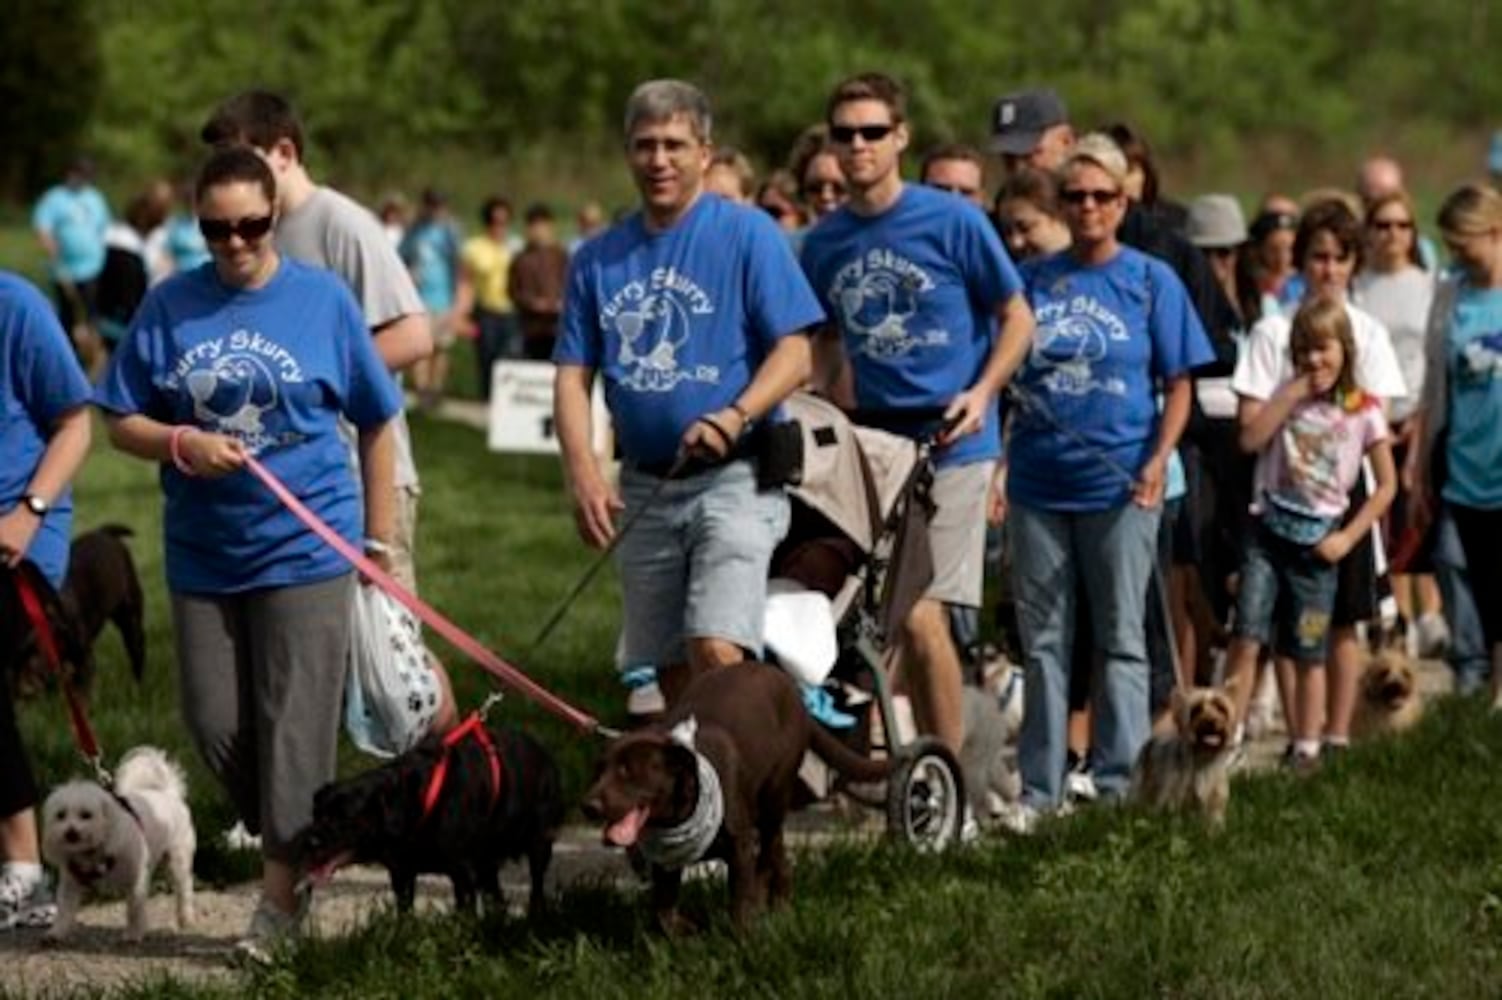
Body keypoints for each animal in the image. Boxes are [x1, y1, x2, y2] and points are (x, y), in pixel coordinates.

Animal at [41, 744, 196, 936]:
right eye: (60, 815)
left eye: (86, 815)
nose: (71, 832)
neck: (93, 852)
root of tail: (168, 793)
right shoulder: (70, 883)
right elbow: (64, 909)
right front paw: (56, 932)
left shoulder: (136, 880)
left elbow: (134, 909)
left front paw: (134, 933)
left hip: (177, 859)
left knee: (184, 888)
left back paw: (186, 918)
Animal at [294, 711, 564, 912]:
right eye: (316, 813)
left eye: (345, 818)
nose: (308, 841)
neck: (414, 803)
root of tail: (544, 753)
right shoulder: (401, 872)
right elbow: (404, 913)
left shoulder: (462, 870)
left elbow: (464, 910)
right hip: (488, 859)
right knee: (496, 895)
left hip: (540, 840)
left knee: (536, 883)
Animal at [582, 657, 889, 930]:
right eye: (598, 770)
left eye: (627, 771)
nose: (588, 807)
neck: (682, 817)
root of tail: (789, 685)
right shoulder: (665, 863)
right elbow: (663, 913)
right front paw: (685, 932)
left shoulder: (739, 846)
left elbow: (740, 902)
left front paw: (743, 941)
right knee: (777, 856)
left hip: (774, 797)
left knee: (767, 856)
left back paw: (773, 907)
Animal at [1129, 681, 1237, 828]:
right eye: (1196, 709)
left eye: (1221, 708)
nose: (1211, 721)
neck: (1203, 758)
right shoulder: (1175, 793)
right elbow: (1174, 814)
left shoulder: (1214, 797)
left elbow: (1213, 818)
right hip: (1142, 778)